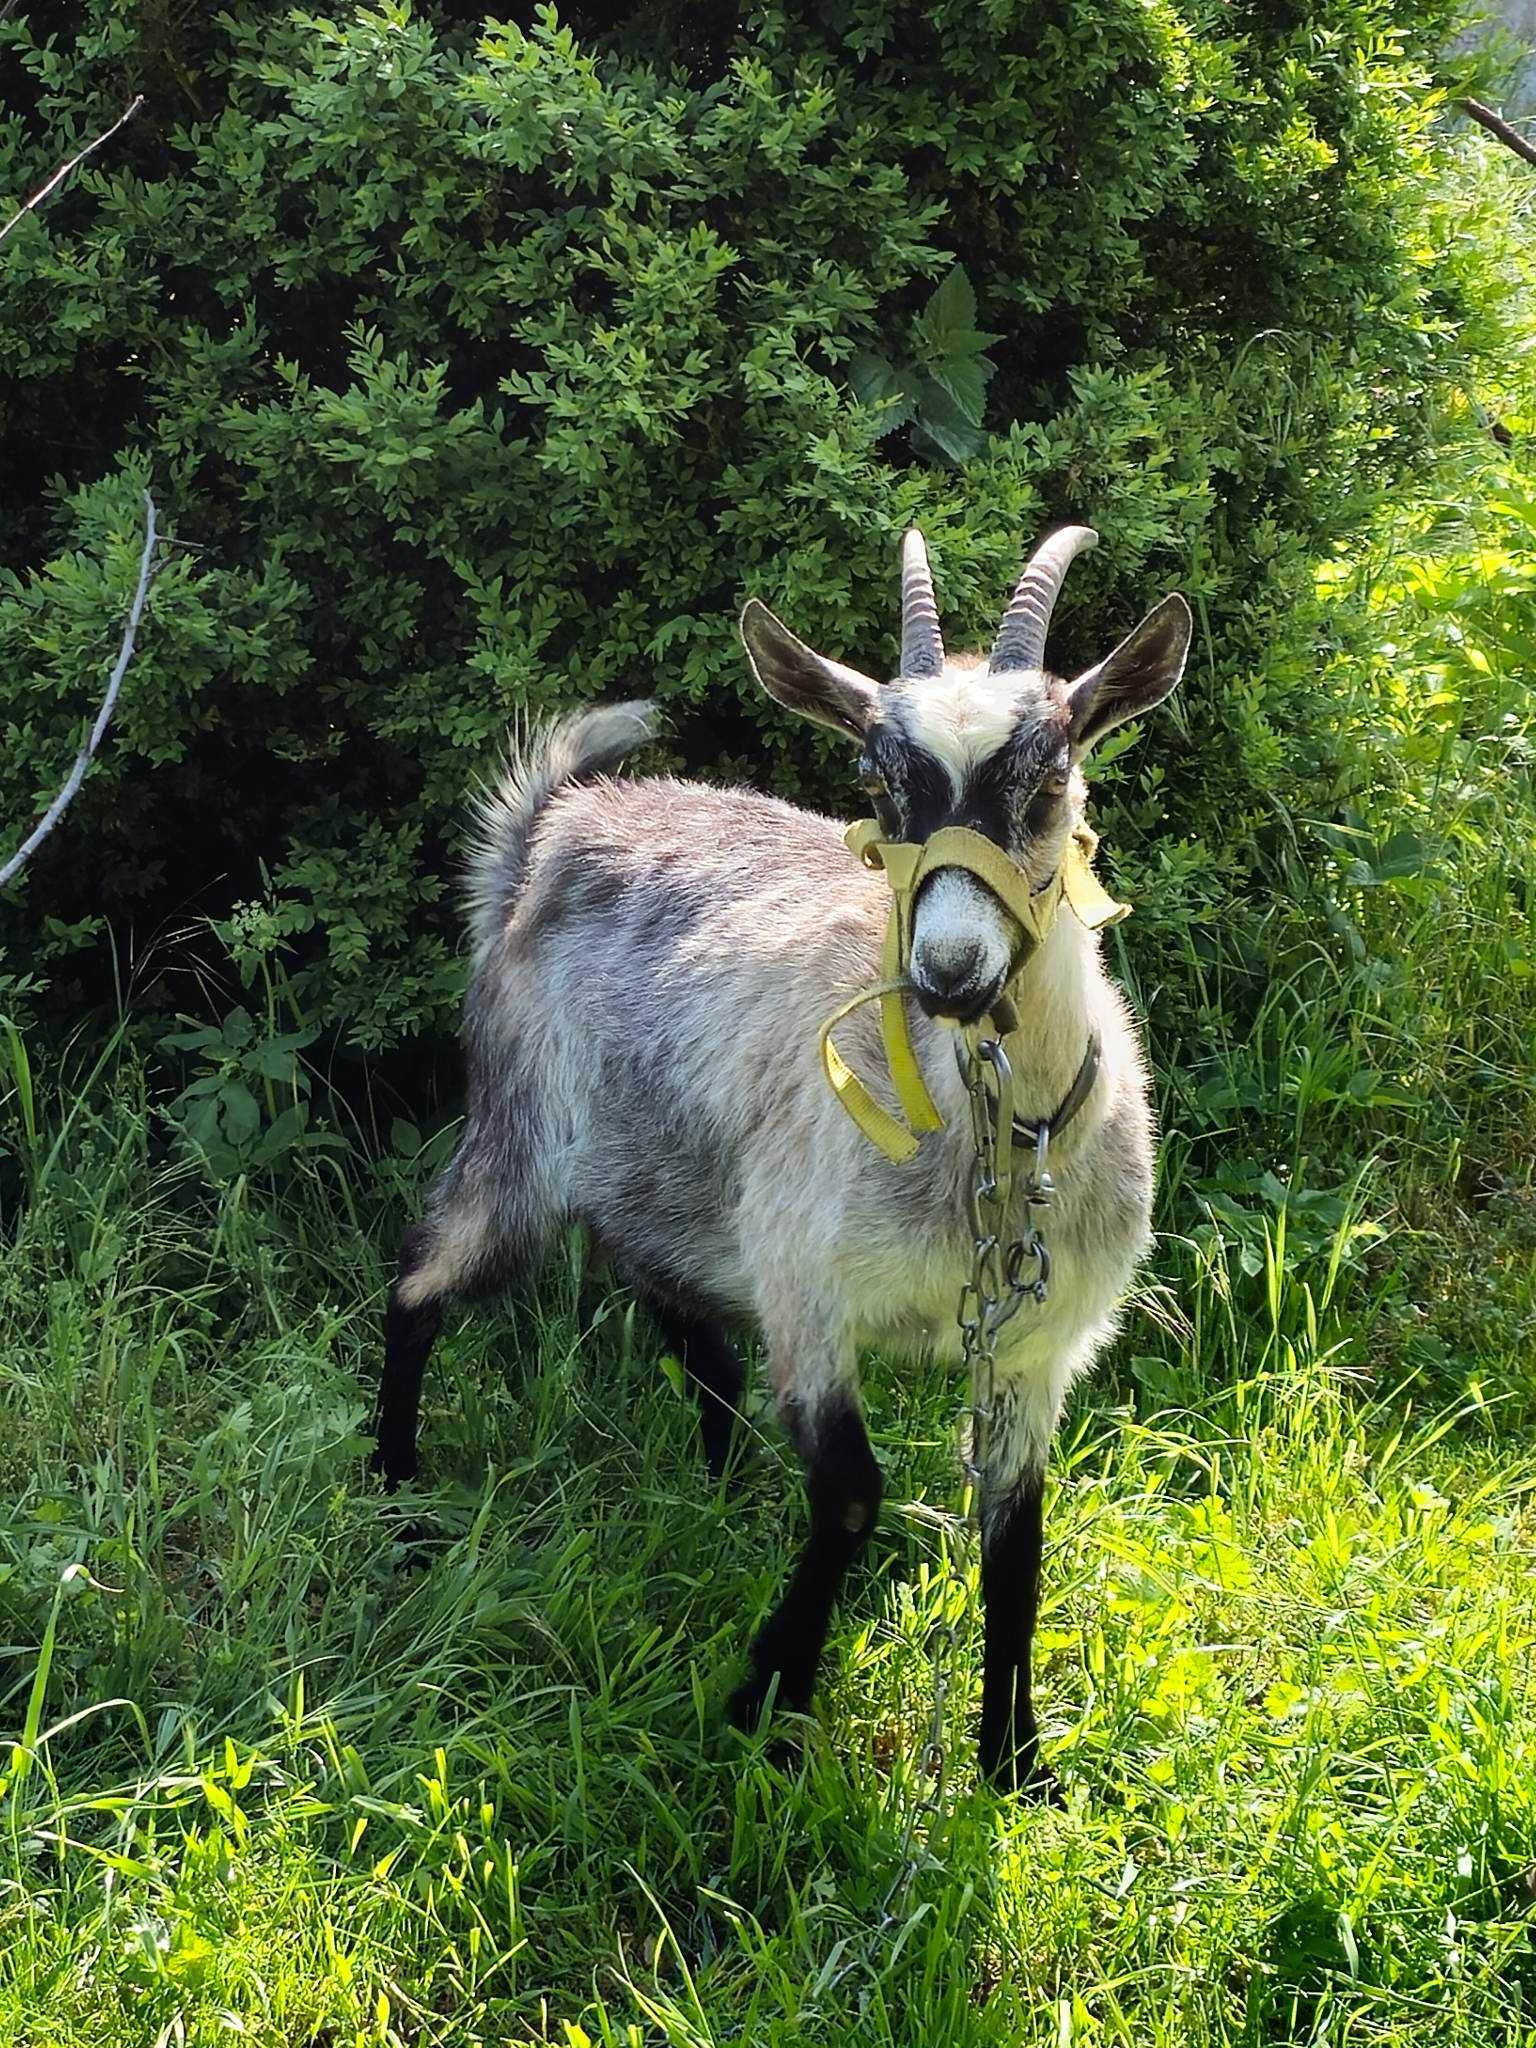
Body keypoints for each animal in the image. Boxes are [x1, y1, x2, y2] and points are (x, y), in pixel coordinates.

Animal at [378, 528, 1196, 1794]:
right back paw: (398, 1496)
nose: (950, 970)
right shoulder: (811, 1286)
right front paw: (768, 1700)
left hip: (668, 1178)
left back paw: (719, 1486)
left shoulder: (1037, 1345)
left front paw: (1016, 1765)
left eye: (1049, 774)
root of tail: (546, 833)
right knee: (421, 1278)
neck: (991, 1143)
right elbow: (852, 1497)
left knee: (679, 1315)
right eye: (877, 779)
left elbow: (1016, 1536)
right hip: (524, 1134)